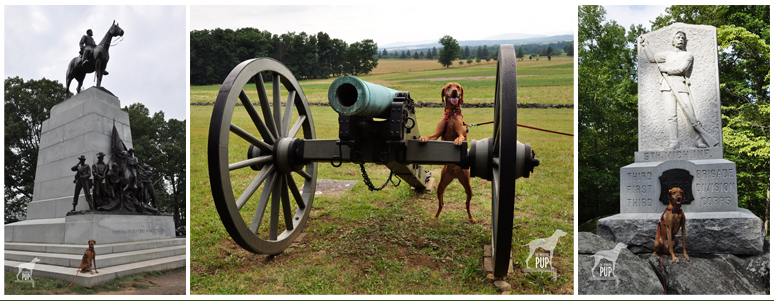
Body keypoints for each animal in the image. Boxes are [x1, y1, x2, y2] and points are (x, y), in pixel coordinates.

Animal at [422, 82, 476, 220]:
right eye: (448, 87)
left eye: (458, 87)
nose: (455, 91)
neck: (451, 113)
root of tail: (455, 174)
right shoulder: (437, 134)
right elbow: (431, 136)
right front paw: (423, 138)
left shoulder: (461, 133)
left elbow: (460, 136)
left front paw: (457, 141)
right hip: (441, 185)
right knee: (441, 203)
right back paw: (435, 217)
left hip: (468, 185)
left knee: (467, 204)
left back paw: (471, 218)